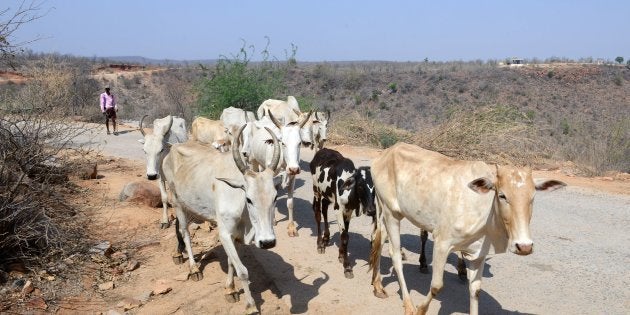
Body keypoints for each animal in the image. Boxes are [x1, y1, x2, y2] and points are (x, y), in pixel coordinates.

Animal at [163, 126, 282, 315]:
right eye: (249, 199)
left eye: (275, 197)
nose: (268, 242)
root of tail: (172, 149)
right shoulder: (225, 233)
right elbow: (243, 271)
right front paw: (251, 305)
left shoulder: (236, 237)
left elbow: (231, 263)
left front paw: (230, 289)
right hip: (176, 202)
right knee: (185, 232)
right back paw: (193, 268)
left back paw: (178, 252)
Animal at [310, 148, 376, 278]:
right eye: (360, 186)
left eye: (375, 187)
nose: (371, 210)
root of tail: (322, 150)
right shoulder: (339, 210)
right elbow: (344, 237)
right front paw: (347, 267)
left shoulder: (348, 212)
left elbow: (345, 234)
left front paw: (341, 255)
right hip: (316, 190)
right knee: (318, 213)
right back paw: (320, 244)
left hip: (327, 195)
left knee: (324, 208)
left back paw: (326, 238)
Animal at [370, 143, 568, 315]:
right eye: (502, 195)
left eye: (533, 196)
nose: (524, 246)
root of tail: (387, 153)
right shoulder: (442, 243)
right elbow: (436, 286)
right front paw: (420, 310)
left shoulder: (478, 254)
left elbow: (475, 290)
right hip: (391, 213)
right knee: (395, 255)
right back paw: (409, 305)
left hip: (387, 213)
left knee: (378, 240)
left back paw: (378, 286)